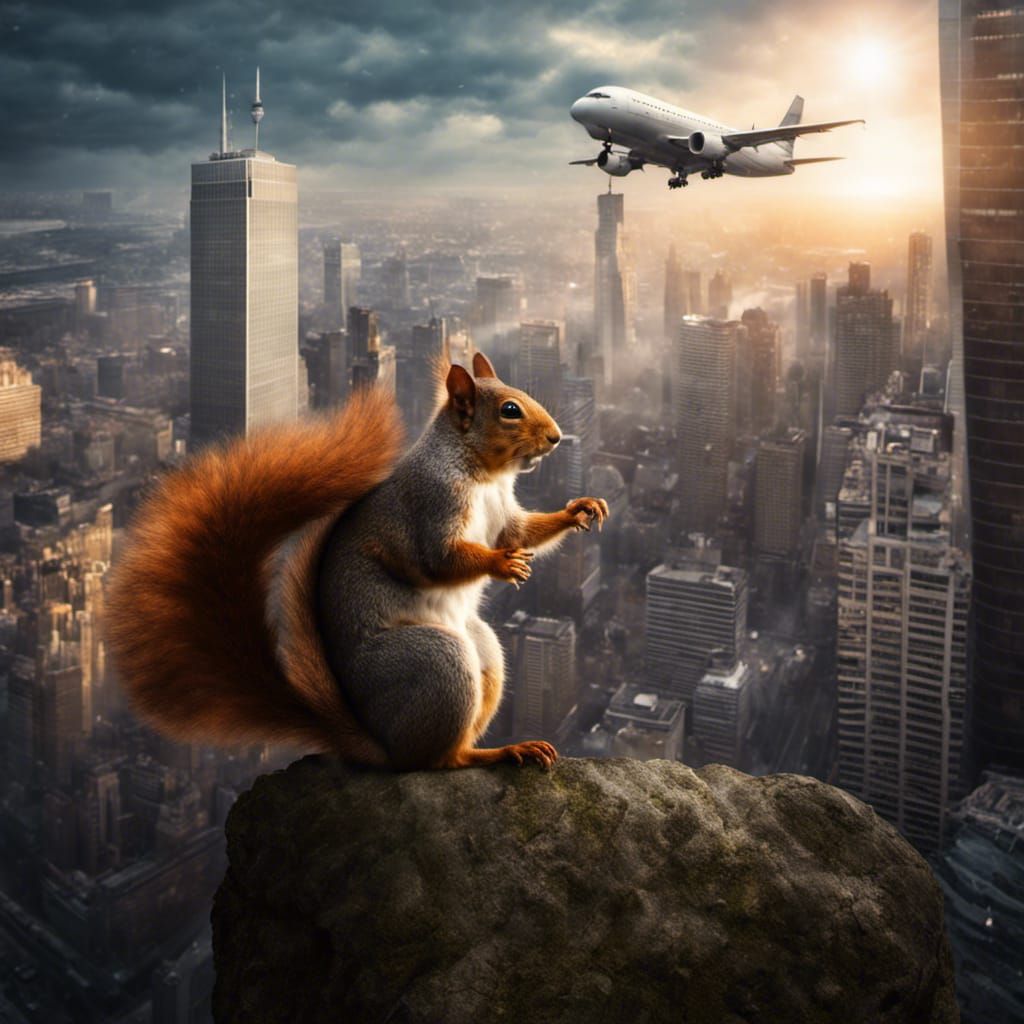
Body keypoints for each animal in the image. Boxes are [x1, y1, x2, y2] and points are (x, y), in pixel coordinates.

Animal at [105, 351, 608, 772]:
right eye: (509, 410)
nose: (556, 437)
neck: (482, 472)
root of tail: (379, 746)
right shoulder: (433, 504)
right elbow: (440, 558)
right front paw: (504, 564)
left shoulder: (504, 512)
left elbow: (522, 532)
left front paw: (581, 509)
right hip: (435, 661)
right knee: (437, 760)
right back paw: (496, 752)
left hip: (484, 651)